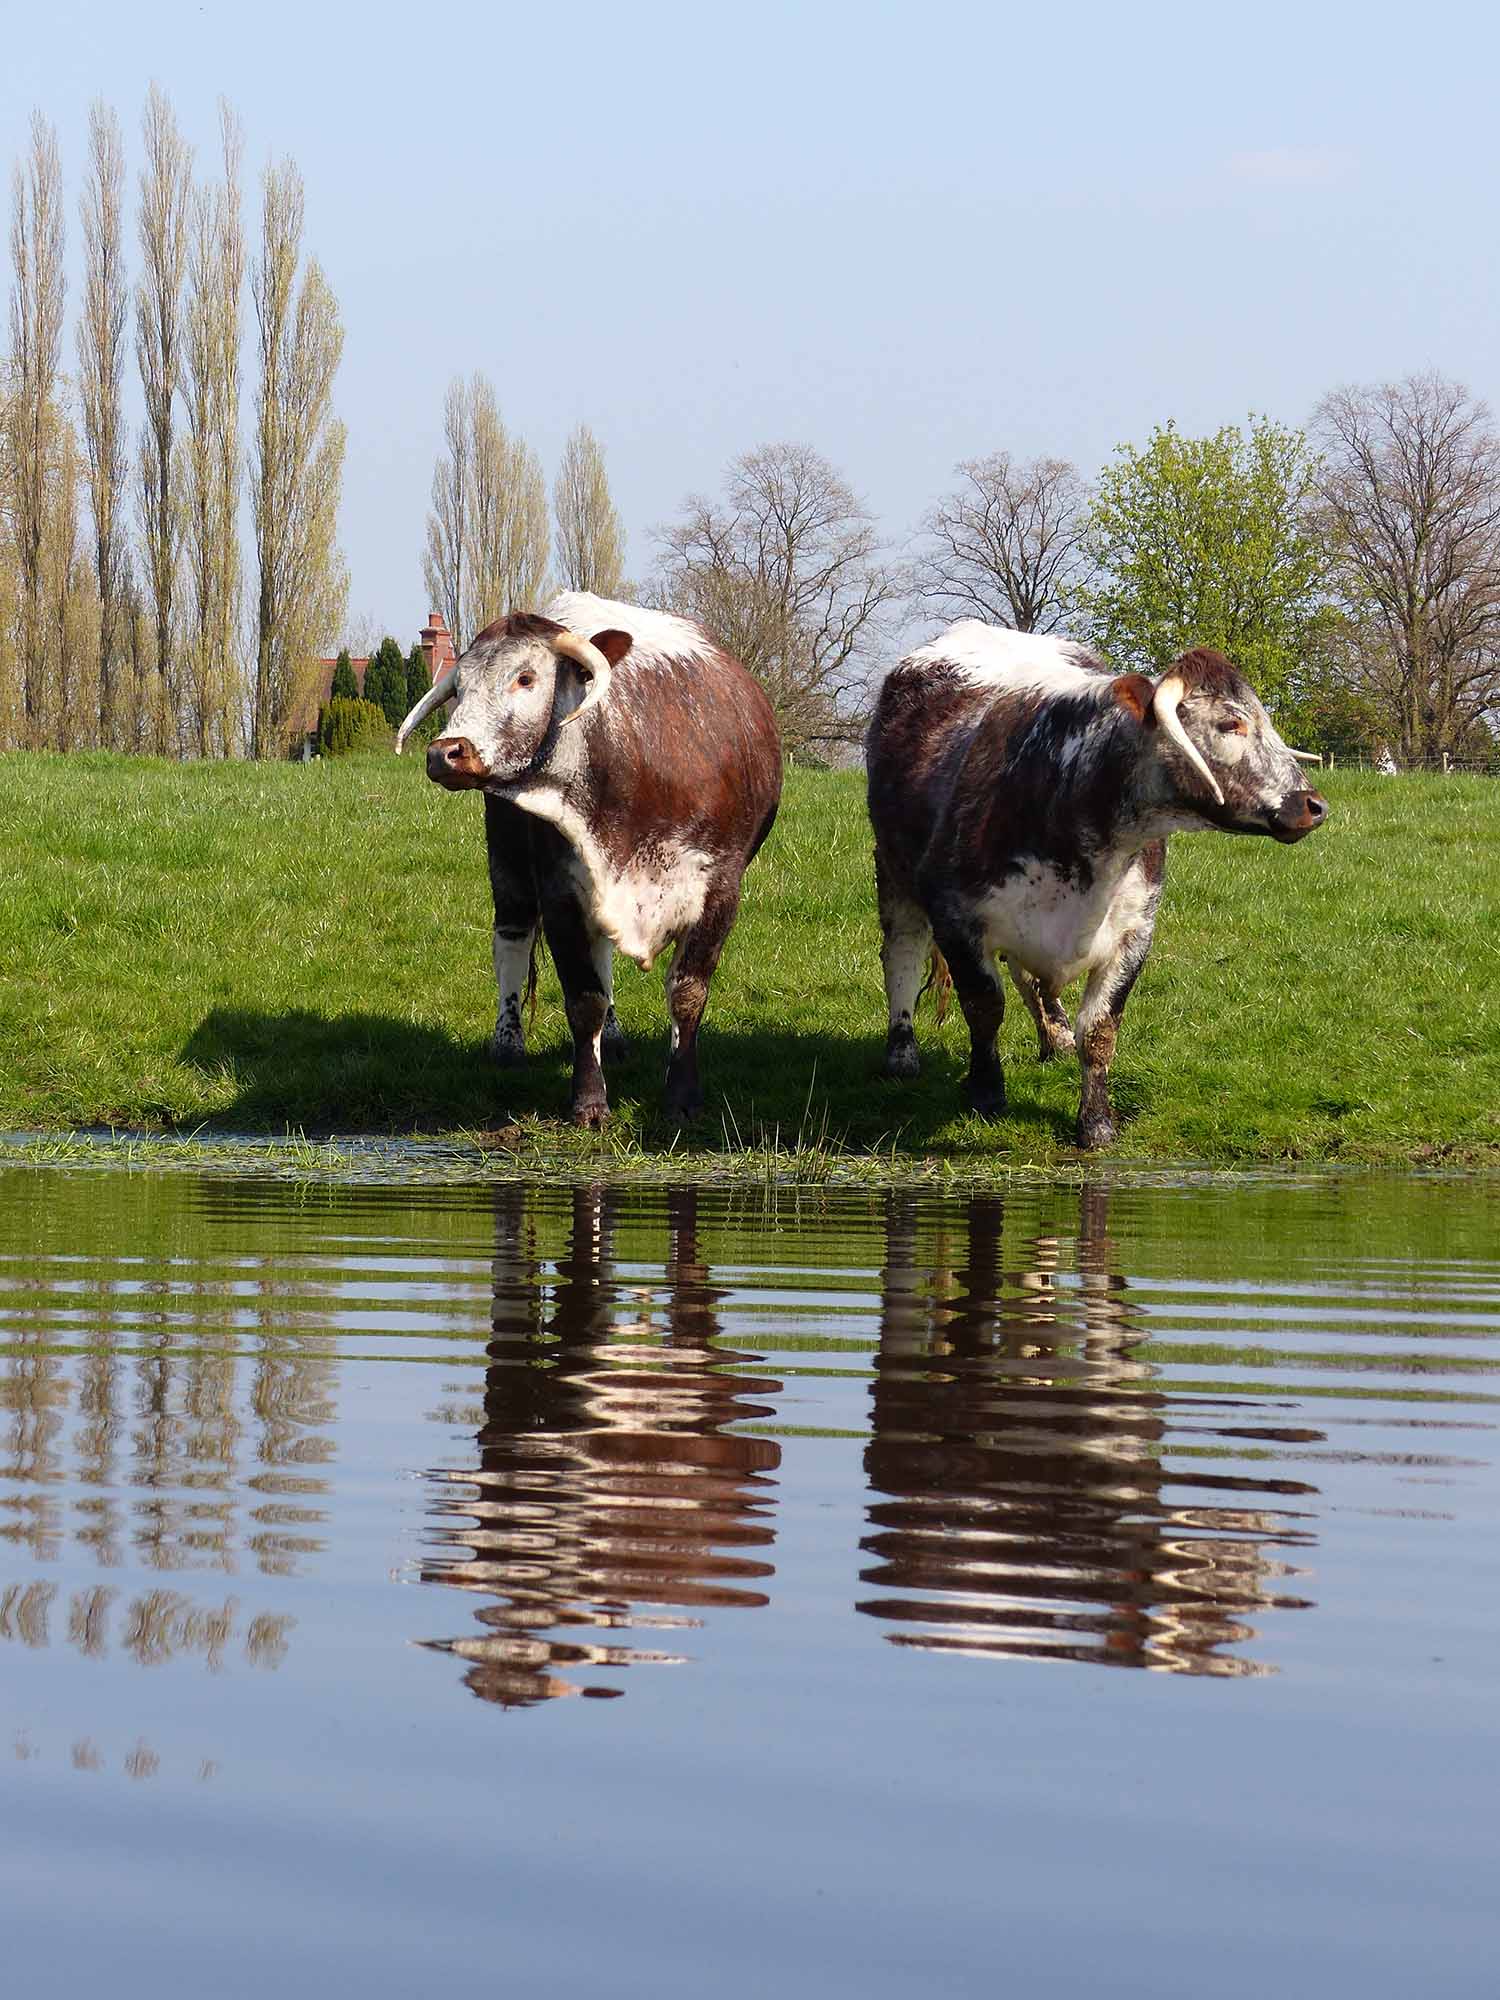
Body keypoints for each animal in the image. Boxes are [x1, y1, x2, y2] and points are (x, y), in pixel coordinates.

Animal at [394, 588, 780, 1128]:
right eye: (460, 688)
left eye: (526, 678)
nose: (445, 752)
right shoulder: (562, 892)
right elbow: (584, 999)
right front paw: (589, 1101)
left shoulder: (720, 890)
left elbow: (686, 994)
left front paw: (682, 1096)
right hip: (509, 861)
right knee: (513, 937)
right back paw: (509, 1045)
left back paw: (614, 1041)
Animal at [864, 624, 1336, 1160]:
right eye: (1230, 723)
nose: (1313, 805)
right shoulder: (956, 918)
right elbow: (984, 1008)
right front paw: (985, 1092)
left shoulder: (1133, 934)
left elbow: (1099, 1030)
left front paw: (1096, 1122)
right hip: (893, 870)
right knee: (901, 954)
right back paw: (902, 1052)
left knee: (1027, 975)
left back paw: (1054, 1035)